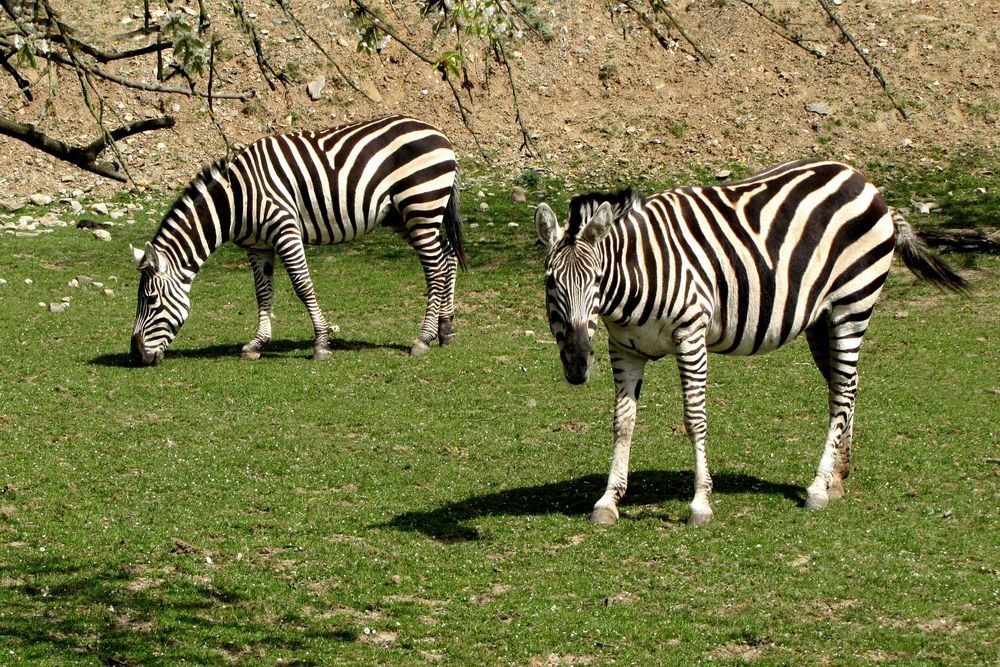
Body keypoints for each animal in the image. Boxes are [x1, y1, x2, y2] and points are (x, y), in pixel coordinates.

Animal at [128, 113, 464, 366]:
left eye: (150, 300)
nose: (136, 355)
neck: (236, 201)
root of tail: (438, 132)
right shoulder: (258, 246)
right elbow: (262, 293)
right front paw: (257, 344)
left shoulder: (285, 230)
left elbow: (303, 287)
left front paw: (321, 344)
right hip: (403, 215)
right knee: (447, 256)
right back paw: (445, 329)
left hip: (420, 205)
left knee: (435, 268)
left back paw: (423, 338)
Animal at [536, 158, 972, 528]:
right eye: (550, 282)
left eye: (595, 279)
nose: (577, 362)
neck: (637, 274)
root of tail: (863, 181)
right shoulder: (624, 349)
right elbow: (622, 423)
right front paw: (609, 500)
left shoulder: (690, 336)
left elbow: (694, 419)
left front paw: (700, 503)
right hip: (822, 319)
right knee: (844, 388)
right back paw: (837, 477)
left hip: (853, 306)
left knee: (844, 391)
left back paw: (817, 487)